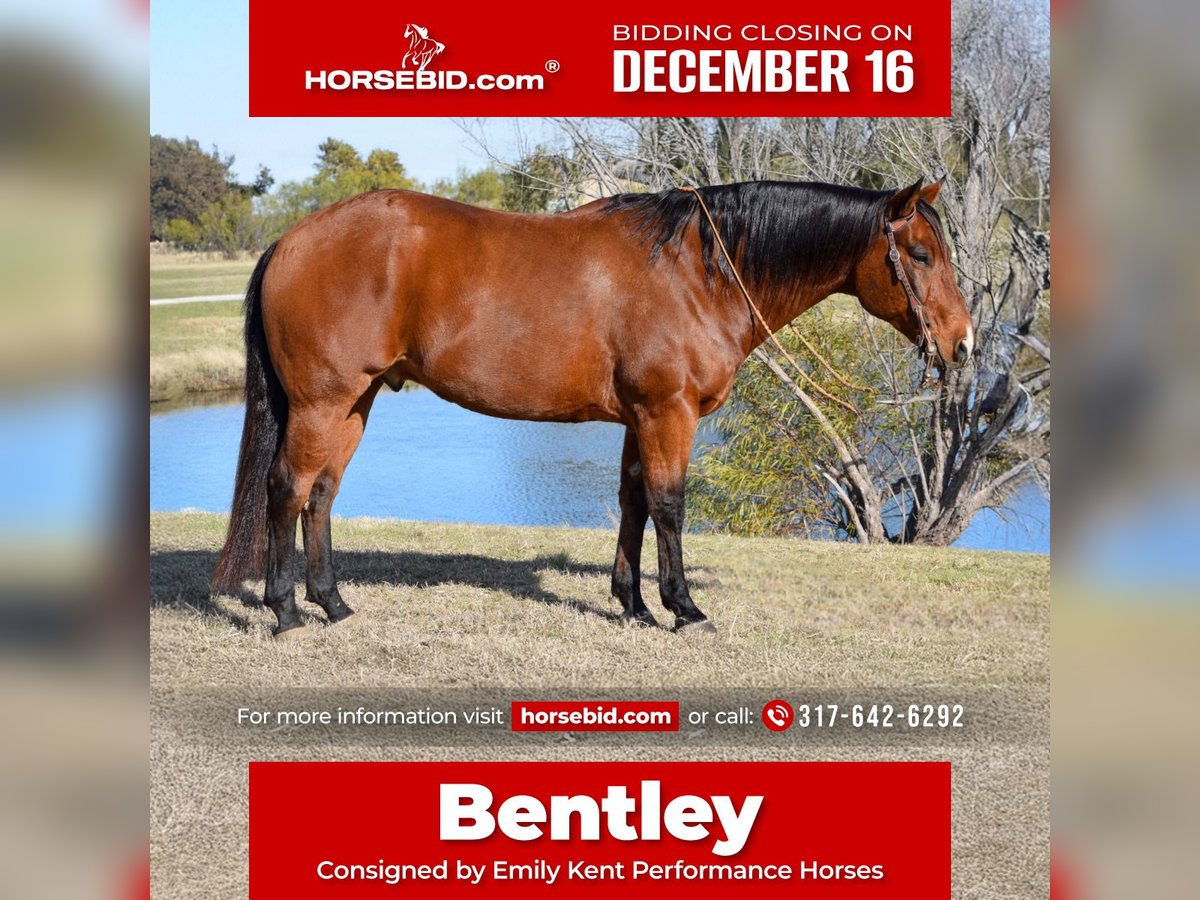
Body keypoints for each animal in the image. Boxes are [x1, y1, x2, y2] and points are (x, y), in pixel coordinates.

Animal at [211, 180, 969, 638]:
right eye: (920, 254)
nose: (962, 344)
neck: (697, 274)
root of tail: (291, 239)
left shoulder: (640, 419)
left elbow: (633, 502)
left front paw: (631, 603)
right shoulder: (669, 414)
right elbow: (669, 504)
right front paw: (683, 607)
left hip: (354, 403)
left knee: (321, 495)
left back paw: (333, 602)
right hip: (322, 402)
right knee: (287, 489)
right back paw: (286, 611)